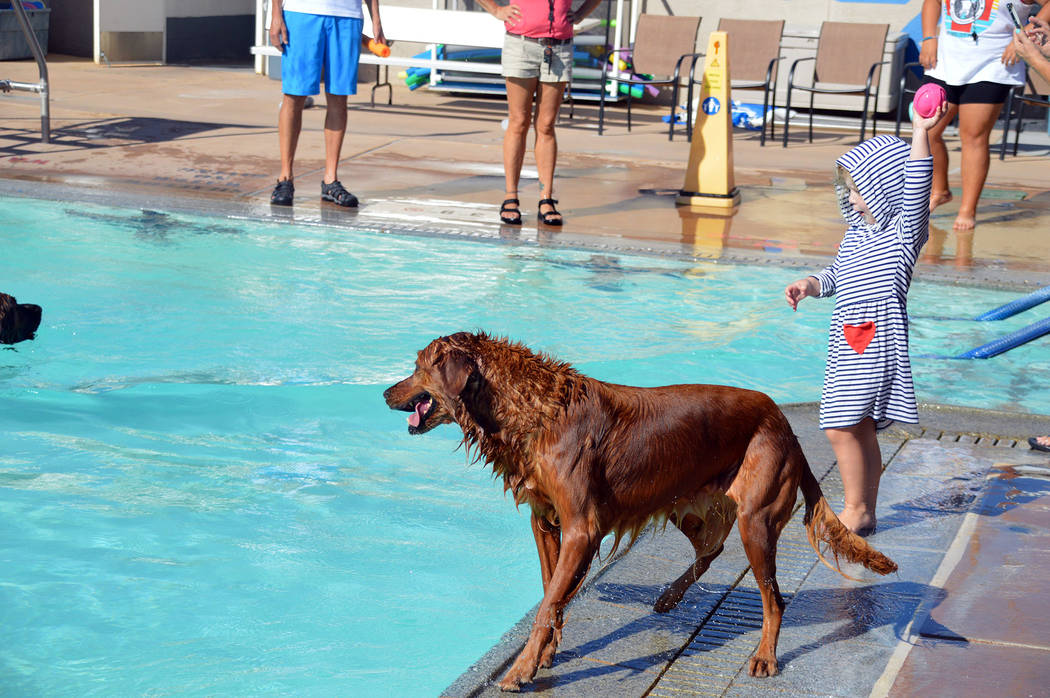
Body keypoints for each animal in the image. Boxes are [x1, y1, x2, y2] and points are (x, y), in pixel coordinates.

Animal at [386, 333, 894, 692]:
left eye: (417, 367)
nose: (386, 393)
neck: (535, 410)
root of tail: (785, 423)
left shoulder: (581, 528)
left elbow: (549, 601)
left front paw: (520, 670)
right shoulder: (545, 520)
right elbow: (552, 592)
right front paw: (545, 653)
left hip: (757, 518)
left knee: (773, 598)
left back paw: (765, 655)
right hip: (684, 506)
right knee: (711, 549)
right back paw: (669, 597)